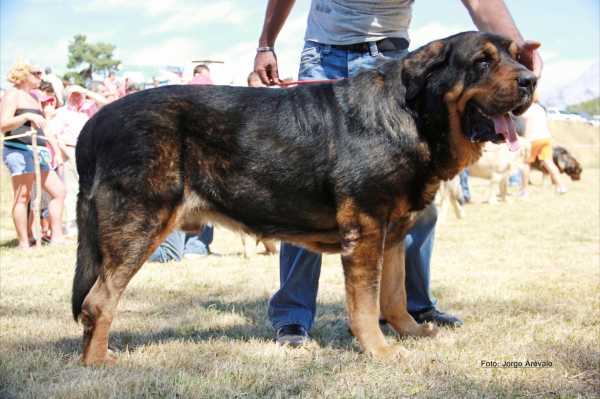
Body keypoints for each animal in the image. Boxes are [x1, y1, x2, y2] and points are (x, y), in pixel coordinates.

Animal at [72, 32, 536, 366]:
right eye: (482, 61)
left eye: (519, 58)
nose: (531, 81)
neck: (410, 115)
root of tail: (93, 124)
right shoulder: (366, 231)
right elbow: (365, 304)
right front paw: (380, 350)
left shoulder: (393, 233)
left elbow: (394, 296)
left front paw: (412, 332)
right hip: (140, 226)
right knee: (98, 302)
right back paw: (98, 363)